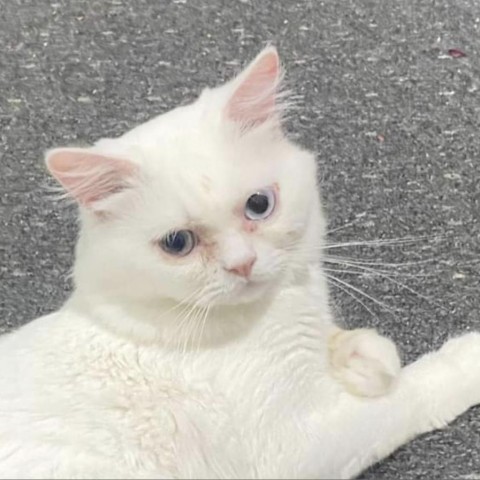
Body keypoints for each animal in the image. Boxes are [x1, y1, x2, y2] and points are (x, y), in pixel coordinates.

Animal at [0, 46, 480, 480]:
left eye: (259, 204)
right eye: (178, 243)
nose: (242, 263)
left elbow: (359, 351)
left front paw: (362, 357)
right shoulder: (303, 445)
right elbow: (410, 395)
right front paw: (463, 359)